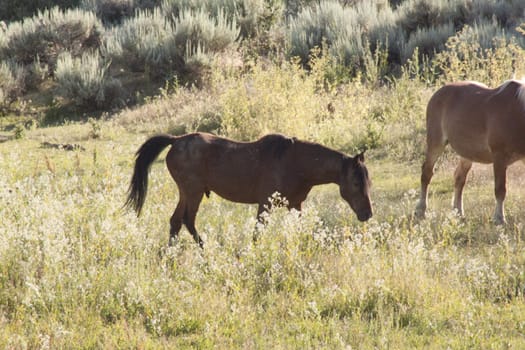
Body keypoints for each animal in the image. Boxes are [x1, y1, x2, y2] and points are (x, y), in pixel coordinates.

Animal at [126, 133, 372, 247]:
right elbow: (257, 233)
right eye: (356, 183)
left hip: (187, 193)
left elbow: (299, 228)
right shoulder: (266, 204)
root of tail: (176, 140)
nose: (367, 214)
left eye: (369, 183)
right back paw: (204, 249)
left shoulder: (295, 204)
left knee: (176, 221)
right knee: (187, 220)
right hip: (193, 192)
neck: (294, 162)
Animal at [414, 79, 524, 223]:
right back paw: (421, 210)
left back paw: (458, 212)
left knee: (459, 178)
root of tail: (439, 92)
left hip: (467, 153)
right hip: (436, 143)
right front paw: (499, 219)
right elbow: (500, 189)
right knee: (426, 173)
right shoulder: (499, 156)